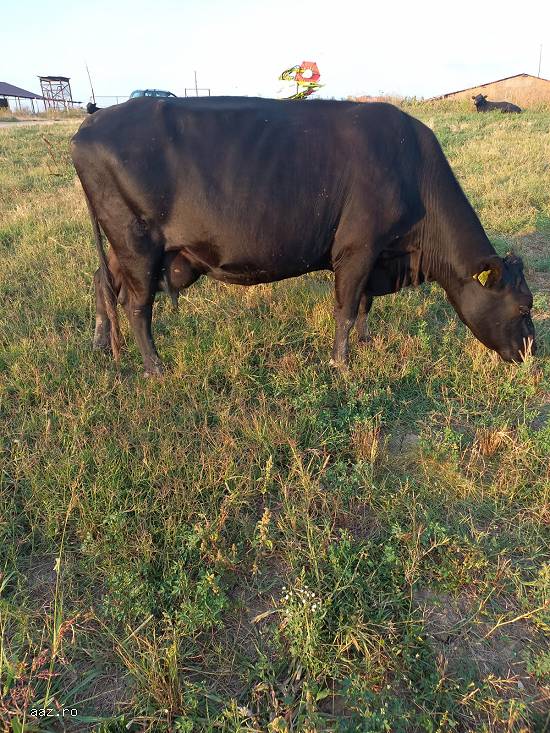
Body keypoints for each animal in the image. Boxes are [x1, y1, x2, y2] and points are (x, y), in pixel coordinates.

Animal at [70, 97, 536, 376]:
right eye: (522, 307)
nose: (531, 353)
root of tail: (91, 122)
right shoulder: (358, 247)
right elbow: (346, 306)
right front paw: (341, 364)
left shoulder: (374, 255)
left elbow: (363, 303)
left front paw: (365, 342)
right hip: (135, 241)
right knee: (136, 305)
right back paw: (155, 367)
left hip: (129, 247)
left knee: (101, 282)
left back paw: (100, 344)